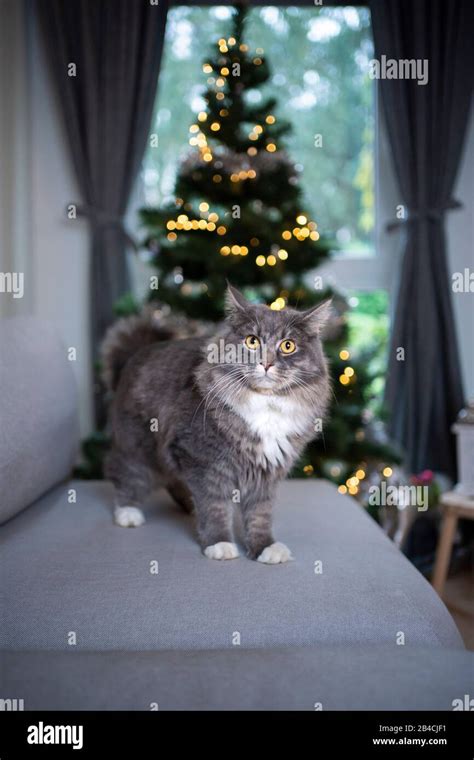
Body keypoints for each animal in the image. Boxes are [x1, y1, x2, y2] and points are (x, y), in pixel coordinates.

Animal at [102, 284, 332, 564]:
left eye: (288, 346)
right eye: (252, 341)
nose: (266, 363)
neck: (265, 406)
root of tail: (137, 353)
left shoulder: (266, 472)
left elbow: (260, 514)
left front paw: (264, 547)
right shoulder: (204, 460)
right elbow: (215, 506)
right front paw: (219, 543)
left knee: (174, 481)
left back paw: (189, 508)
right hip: (138, 444)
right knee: (125, 471)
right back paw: (128, 513)